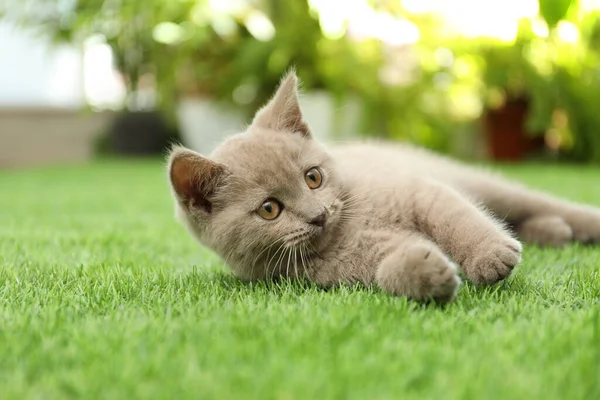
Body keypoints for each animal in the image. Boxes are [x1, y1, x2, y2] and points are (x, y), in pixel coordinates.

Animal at [166, 72, 600, 304]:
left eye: (313, 177)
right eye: (269, 209)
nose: (318, 215)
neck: (350, 229)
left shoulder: (417, 189)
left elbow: (456, 218)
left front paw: (489, 256)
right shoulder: (349, 269)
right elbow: (389, 267)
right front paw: (427, 274)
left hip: (480, 182)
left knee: (529, 203)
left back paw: (574, 224)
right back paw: (555, 232)